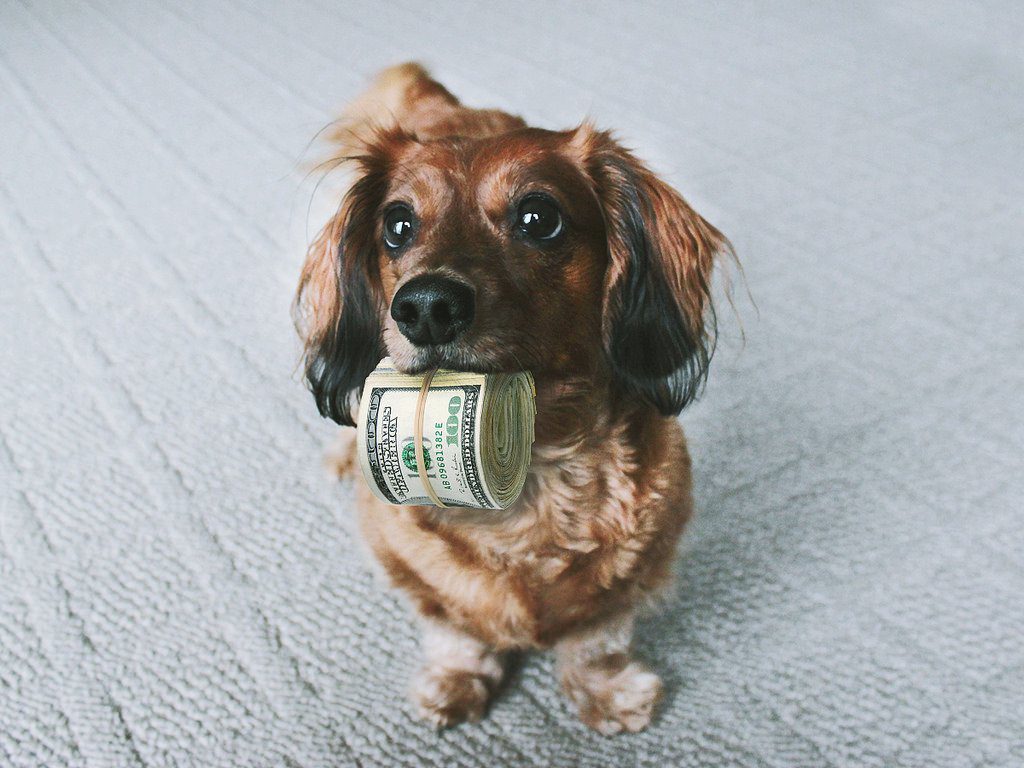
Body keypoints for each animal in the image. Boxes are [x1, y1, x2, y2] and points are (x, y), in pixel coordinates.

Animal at [292, 63, 733, 737]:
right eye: (397, 224)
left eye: (538, 217)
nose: (426, 306)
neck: (536, 481)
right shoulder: (412, 573)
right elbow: (457, 630)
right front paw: (456, 680)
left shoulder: (640, 565)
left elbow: (596, 636)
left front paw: (604, 692)